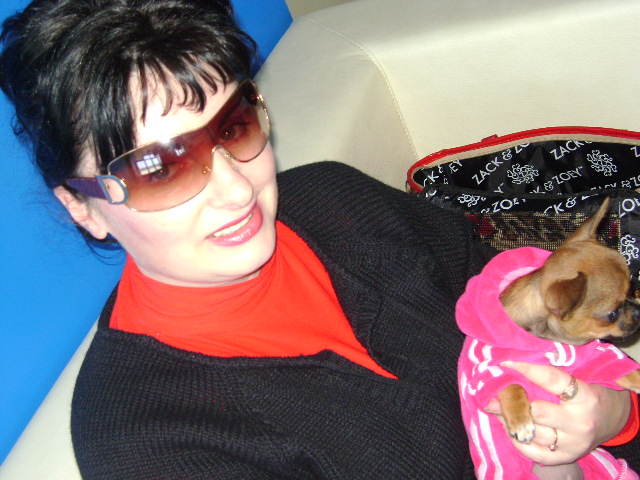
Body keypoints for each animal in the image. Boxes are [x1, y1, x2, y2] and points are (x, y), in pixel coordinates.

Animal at [457, 198, 640, 479]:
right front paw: (521, 420)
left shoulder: (593, 358)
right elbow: (511, 385)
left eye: (632, 289)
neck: (548, 339)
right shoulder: (487, 367)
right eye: (612, 313)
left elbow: (620, 369)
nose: (639, 311)